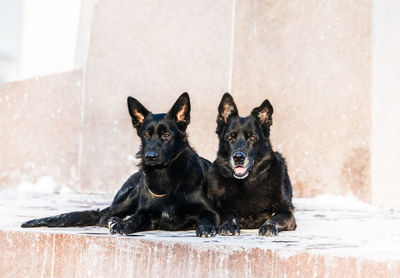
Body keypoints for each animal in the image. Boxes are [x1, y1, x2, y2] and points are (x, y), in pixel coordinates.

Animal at [21, 93, 219, 237]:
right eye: (146, 135)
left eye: (166, 135)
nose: (150, 157)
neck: (165, 177)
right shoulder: (143, 213)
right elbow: (134, 219)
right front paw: (123, 224)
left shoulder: (212, 213)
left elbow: (206, 219)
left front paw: (205, 228)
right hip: (131, 194)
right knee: (104, 216)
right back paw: (114, 220)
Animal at [208, 93, 296, 237]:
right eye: (229, 138)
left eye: (252, 138)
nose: (238, 157)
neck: (246, 183)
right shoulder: (219, 210)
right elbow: (228, 215)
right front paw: (229, 225)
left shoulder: (287, 212)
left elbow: (274, 218)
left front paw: (268, 226)